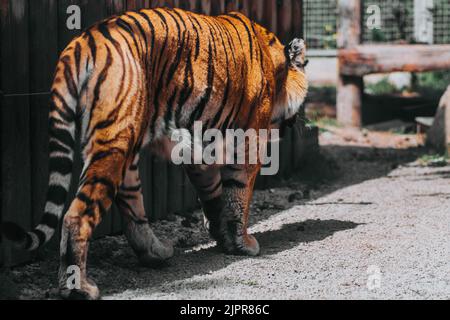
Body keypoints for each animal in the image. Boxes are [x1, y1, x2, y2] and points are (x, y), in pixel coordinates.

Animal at [0, 7, 308, 298]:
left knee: (132, 207)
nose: (301, 121)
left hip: (125, 148)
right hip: (114, 142)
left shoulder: (198, 150)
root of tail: (81, 43)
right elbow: (238, 196)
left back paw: (155, 253)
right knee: (77, 214)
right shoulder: (248, 141)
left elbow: (214, 195)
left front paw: (222, 236)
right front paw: (243, 243)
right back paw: (78, 287)